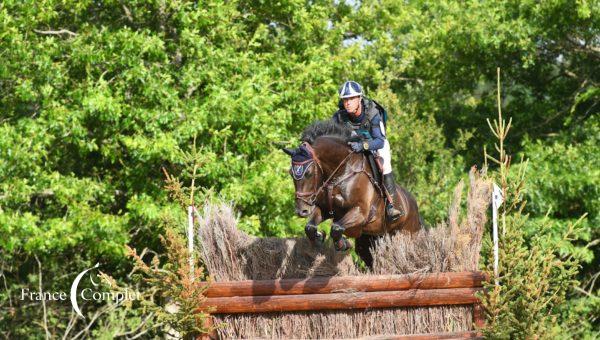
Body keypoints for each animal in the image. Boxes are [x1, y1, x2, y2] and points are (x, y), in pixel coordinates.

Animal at [282, 121, 420, 266]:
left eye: (308, 173)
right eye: (291, 173)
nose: (301, 211)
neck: (343, 171)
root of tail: (413, 204)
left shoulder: (360, 213)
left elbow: (336, 228)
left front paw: (342, 244)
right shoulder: (325, 209)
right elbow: (310, 227)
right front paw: (320, 237)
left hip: (407, 234)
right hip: (370, 239)